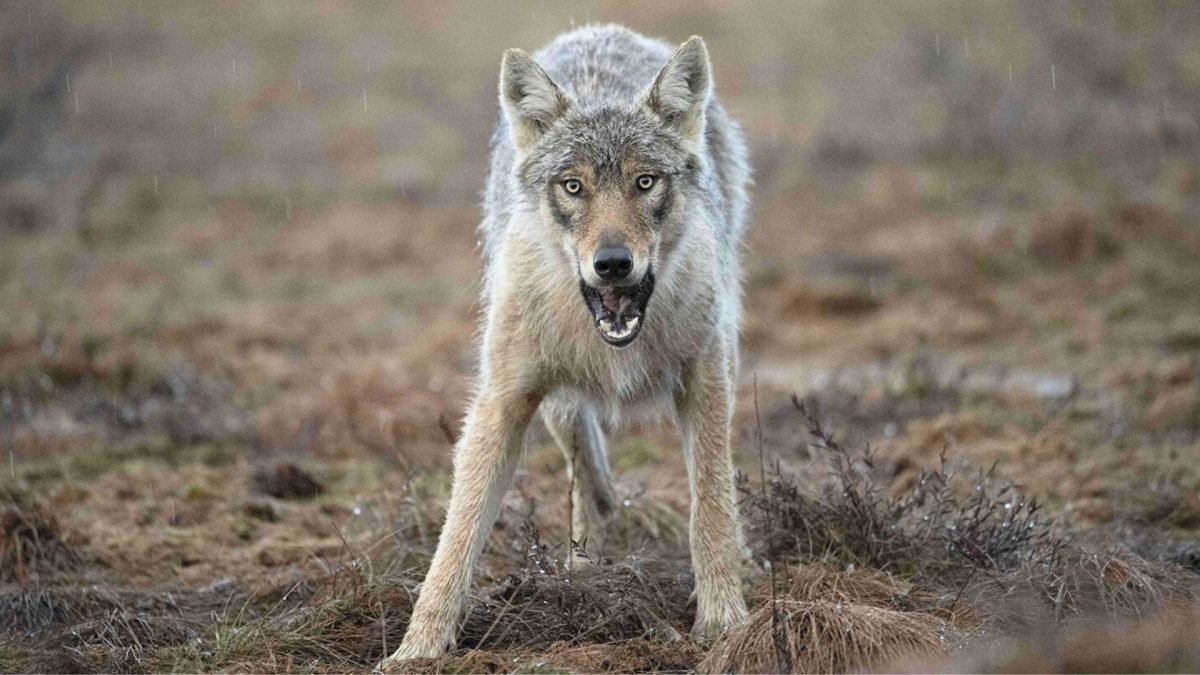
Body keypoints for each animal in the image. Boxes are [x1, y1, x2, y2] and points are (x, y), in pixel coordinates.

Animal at [379, 24, 750, 665]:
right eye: (573, 186)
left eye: (645, 181)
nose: (613, 264)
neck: (615, 345)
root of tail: (602, 29)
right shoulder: (502, 401)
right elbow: (457, 535)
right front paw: (417, 651)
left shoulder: (707, 379)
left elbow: (712, 506)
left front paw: (726, 623)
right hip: (549, 400)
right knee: (585, 464)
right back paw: (588, 561)